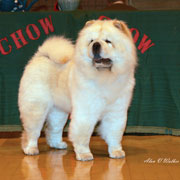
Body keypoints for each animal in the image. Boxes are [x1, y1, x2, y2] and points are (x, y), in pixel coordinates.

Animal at [18, 19, 136, 161]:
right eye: (91, 41)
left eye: (108, 41)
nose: (96, 45)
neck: (105, 77)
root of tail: (41, 56)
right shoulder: (86, 112)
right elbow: (83, 134)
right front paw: (84, 154)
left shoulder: (116, 112)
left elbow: (114, 133)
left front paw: (116, 152)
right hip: (37, 108)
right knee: (32, 131)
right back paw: (30, 149)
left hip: (59, 111)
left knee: (53, 129)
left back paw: (58, 144)